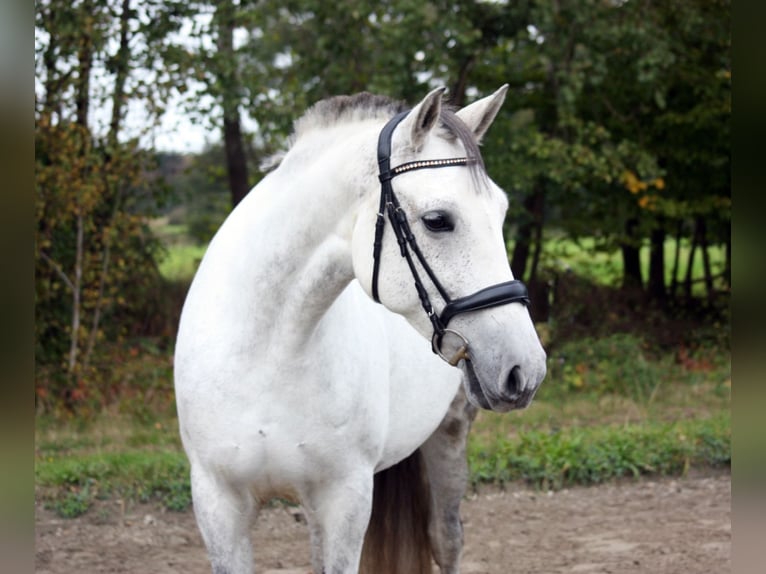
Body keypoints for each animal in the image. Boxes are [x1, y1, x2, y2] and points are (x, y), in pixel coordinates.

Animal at [174, 86, 548, 574]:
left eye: (501, 214)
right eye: (437, 220)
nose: (526, 368)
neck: (269, 353)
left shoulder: (344, 500)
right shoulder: (219, 504)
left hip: (449, 434)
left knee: (446, 540)